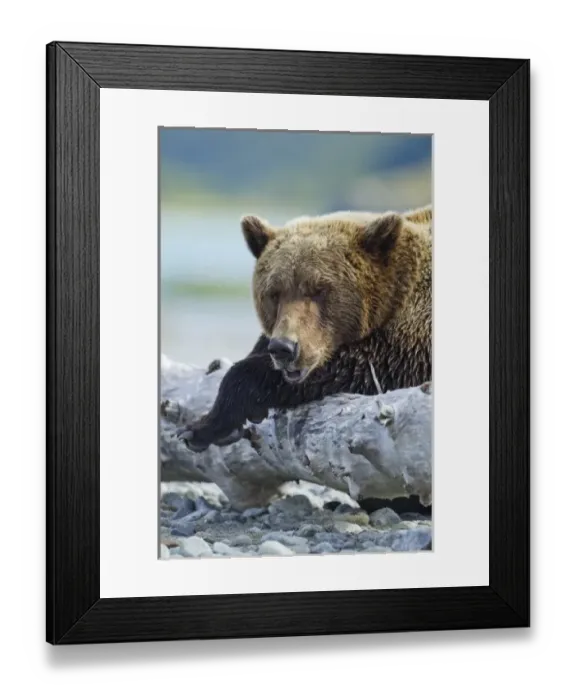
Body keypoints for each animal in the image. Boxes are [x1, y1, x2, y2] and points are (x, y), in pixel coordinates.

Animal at [179, 204, 432, 452]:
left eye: (318, 290)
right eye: (274, 293)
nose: (283, 348)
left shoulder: (408, 344)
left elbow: (361, 365)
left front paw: (204, 426)